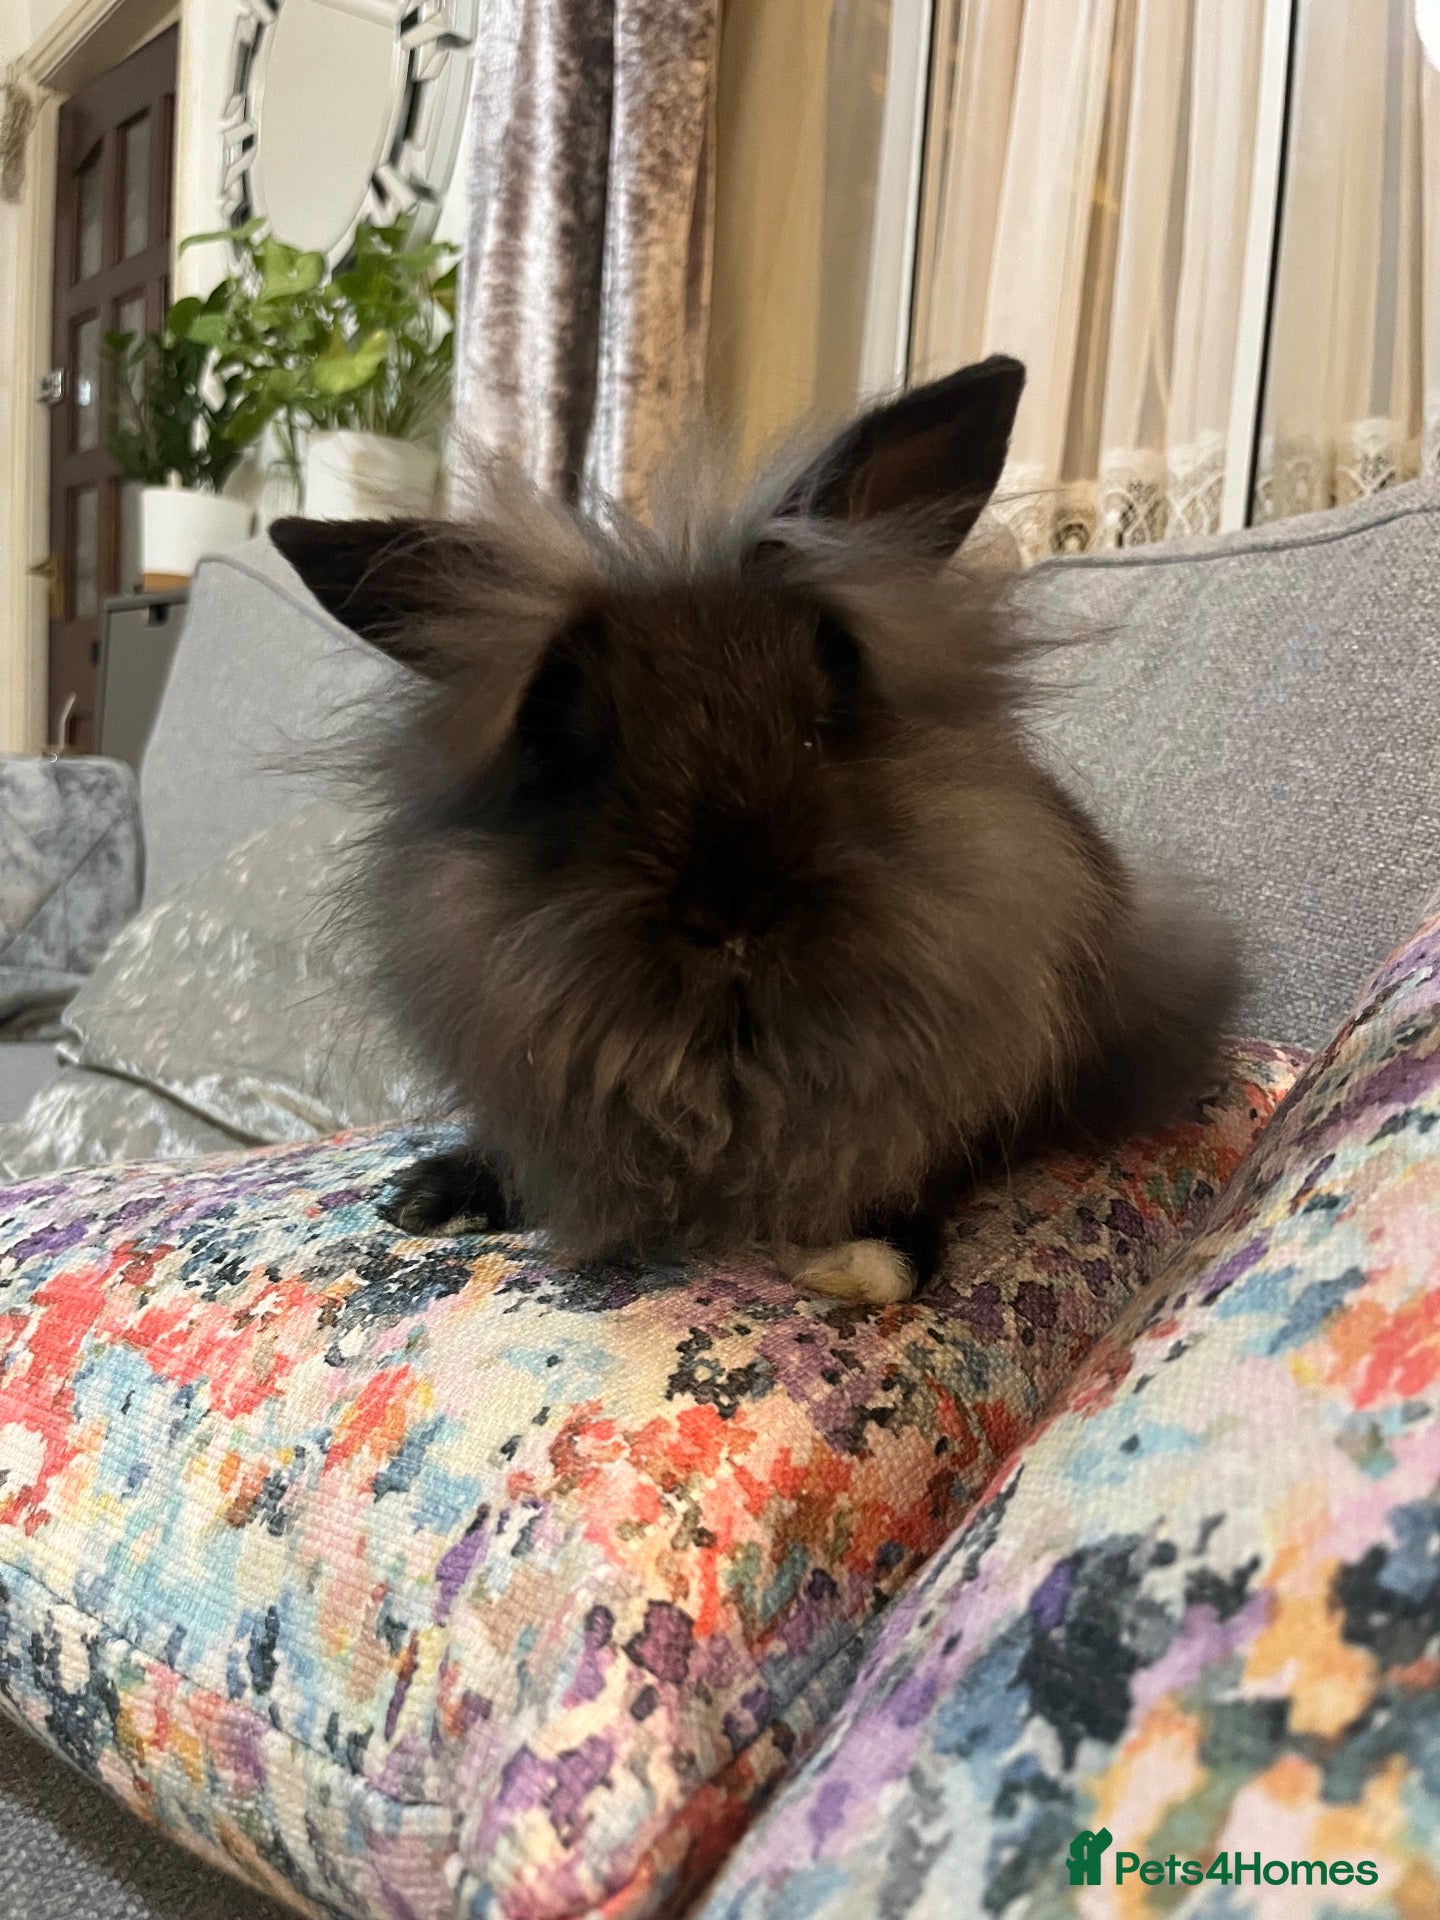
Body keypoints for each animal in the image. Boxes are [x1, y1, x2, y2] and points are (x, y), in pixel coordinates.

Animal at [270, 355, 1237, 1306]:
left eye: (820, 728)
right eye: (586, 764)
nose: (730, 910)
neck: (731, 1059)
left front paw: (866, 1259)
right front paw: (431, 1198)